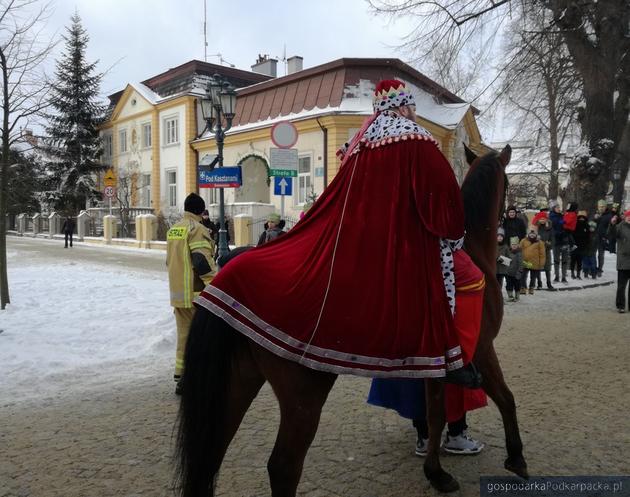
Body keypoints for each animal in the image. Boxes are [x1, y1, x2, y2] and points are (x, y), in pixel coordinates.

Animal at [175, 143, 524, 496]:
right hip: (302, 395)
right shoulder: (481, 348)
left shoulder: (434, 362)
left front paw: (435, 471)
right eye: (509, 184)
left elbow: (435, 413)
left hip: (237, 381)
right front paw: (516, 458)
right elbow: (506, 398)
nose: (511, 224)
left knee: (210, 457)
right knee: (283, 466)